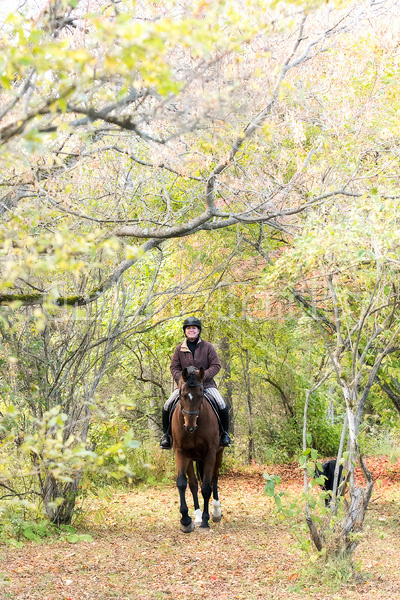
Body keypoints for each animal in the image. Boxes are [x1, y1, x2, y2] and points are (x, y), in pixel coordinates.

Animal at [170, 366, 223, 528]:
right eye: (182, 395)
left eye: (200, 396)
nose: (190, 426)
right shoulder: (181, 452)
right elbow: (183, 483)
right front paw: (186, 520)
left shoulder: (210, 454)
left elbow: (206, 487)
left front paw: (206, 520)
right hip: (190, 458)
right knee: (193, 484)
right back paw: (197, 516)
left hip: (219, 454)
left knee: (214, 479)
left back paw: (216, 512)